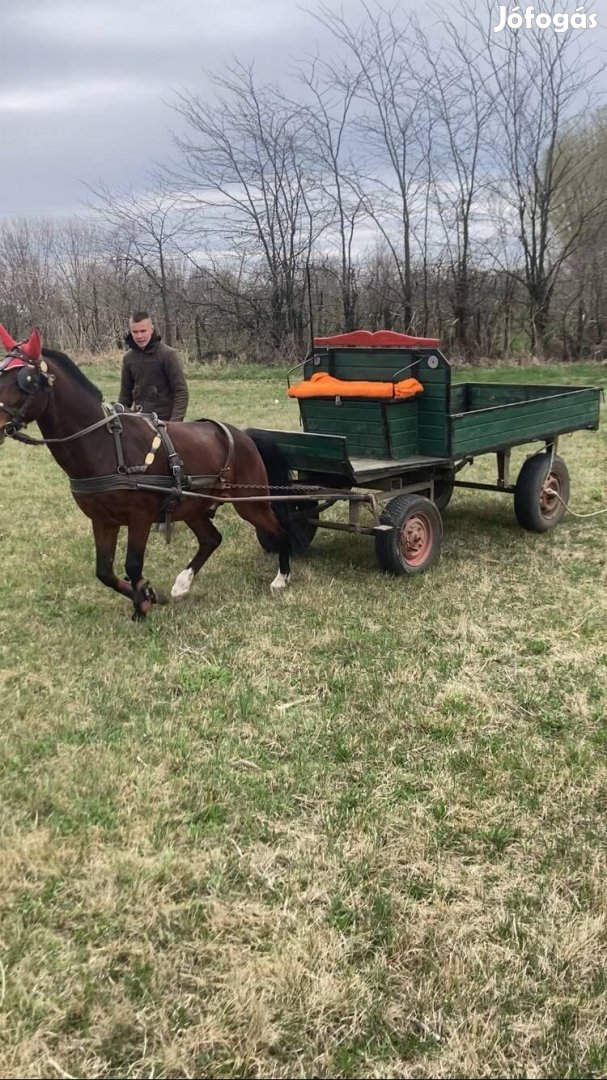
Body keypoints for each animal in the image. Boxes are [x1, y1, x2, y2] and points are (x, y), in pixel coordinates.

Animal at [0, 324, 293, 622]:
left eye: (25, 380)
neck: (106, 446)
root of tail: (243, 436)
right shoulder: (102, 520)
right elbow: (104, 572)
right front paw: (147, 595)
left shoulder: (140, 516)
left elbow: (132, 564)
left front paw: (142, 601)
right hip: (193, 506)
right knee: (211, 539)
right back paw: (182, 583)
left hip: (250, 503)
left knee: (280, 529)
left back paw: (282, 577)